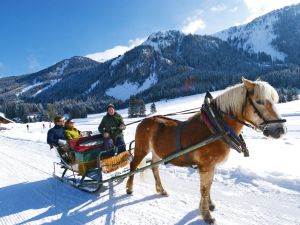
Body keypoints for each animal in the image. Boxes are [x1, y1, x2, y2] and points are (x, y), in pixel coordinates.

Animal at [125, 78, 288, 224]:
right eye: (259, 101)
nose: (281, 130)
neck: (216, 128)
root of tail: (144, 121)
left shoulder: (211, 166)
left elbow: (209, 185)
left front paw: (209, 205)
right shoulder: (206, 166)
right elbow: (204, 188)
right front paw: (206, 215)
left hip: (157, 153)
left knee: (154, 168)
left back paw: (161, 190)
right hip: (141, 149)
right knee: (133, 166)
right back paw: (129, 188)